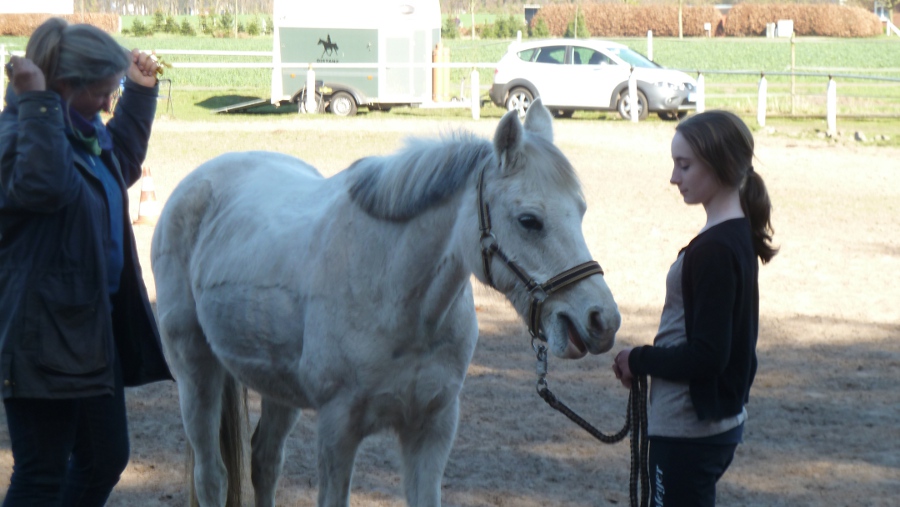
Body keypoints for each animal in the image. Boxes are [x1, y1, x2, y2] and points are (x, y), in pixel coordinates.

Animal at [150, 99, 621, 507]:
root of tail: (199, 181)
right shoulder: (338, 429)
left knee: (264, 463)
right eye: (529, 221)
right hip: (196, 373)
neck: (400, 302)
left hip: (277, 387)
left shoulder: (432, 428)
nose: (603, 320)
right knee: (212, 476)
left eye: (580, 211)